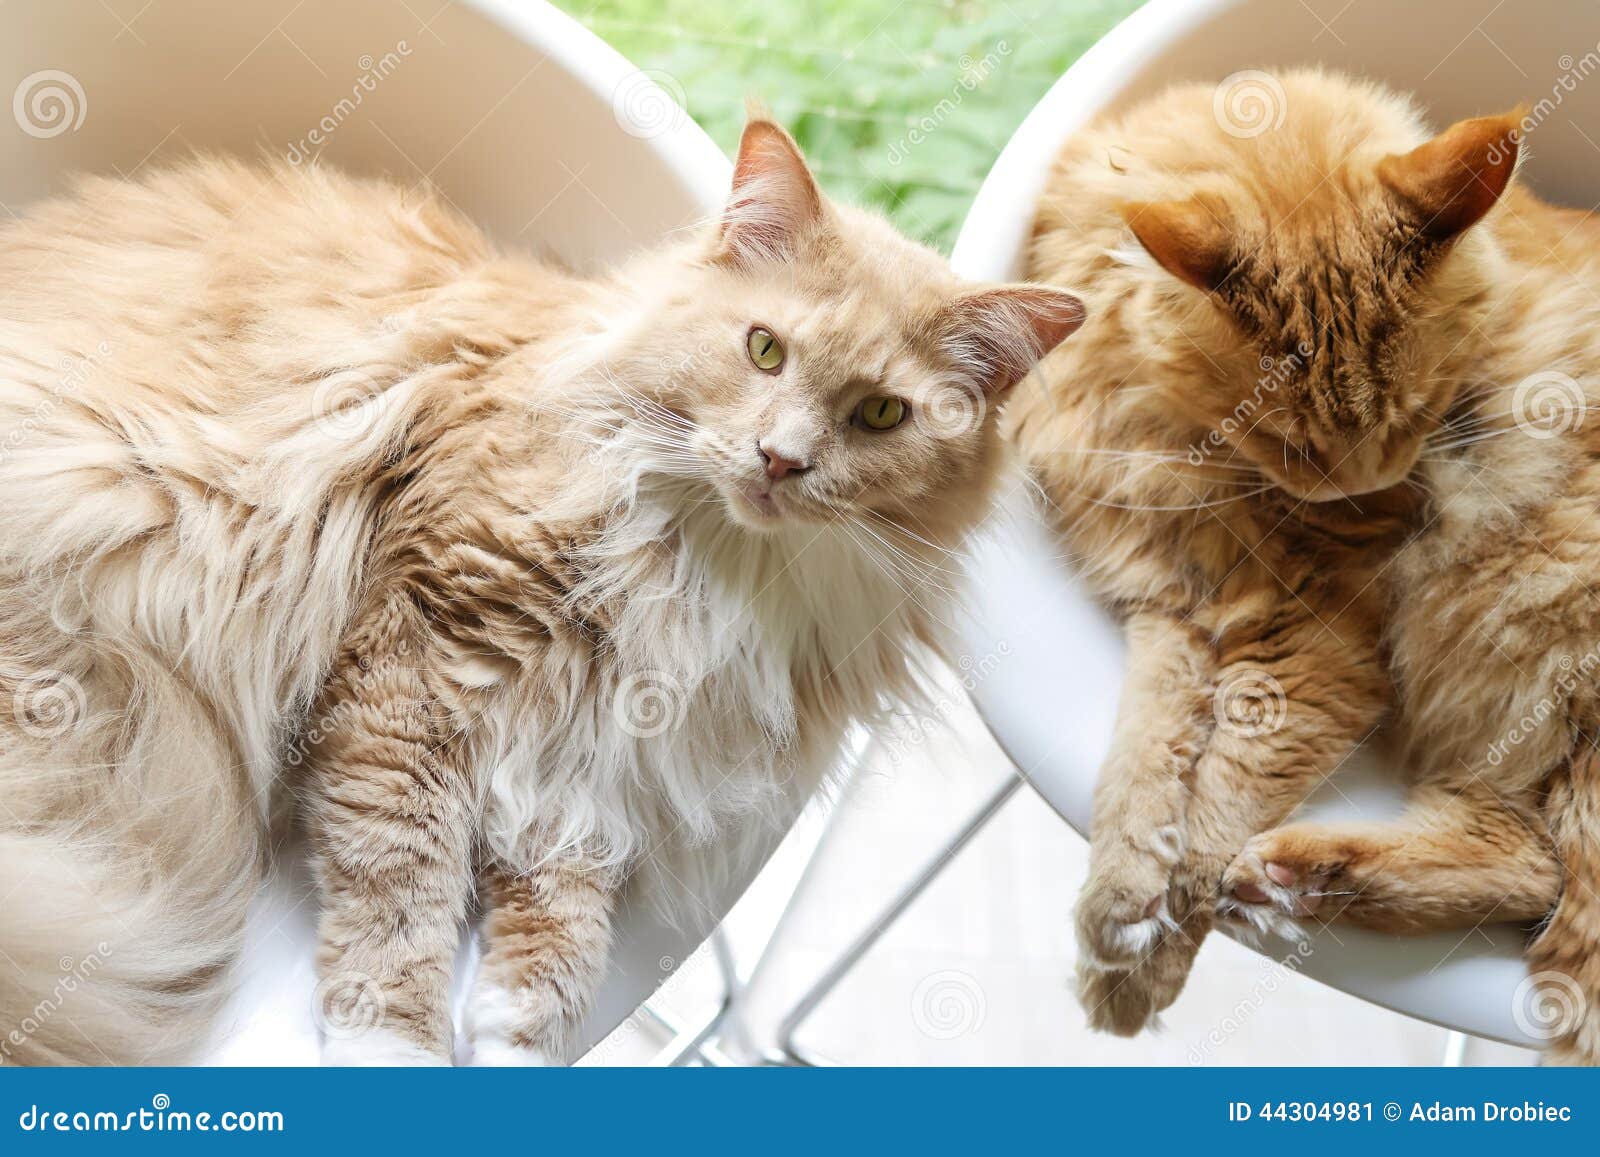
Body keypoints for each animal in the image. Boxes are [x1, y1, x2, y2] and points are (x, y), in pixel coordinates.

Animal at [0, 120, 1088, 1068]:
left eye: (882, 415)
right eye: (764, 349)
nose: (780, 460)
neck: (712, 566)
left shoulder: (599, 763)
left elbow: (559, 954)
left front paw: (514, 1044)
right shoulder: (419, 656)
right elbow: (403, 888)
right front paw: (392, 1050)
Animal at [1017, 70, 1600, 1068]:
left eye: (1417, 411)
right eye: (1286, 433)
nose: (1375, 490)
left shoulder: (1311, 643)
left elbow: (1214, 809)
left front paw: (1154, 951)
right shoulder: (1175, 609)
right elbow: (1139, 777)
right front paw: (1118, 924)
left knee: (1553, 883)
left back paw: (1286, 873)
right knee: (1531, 861)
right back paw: (1305, 877)